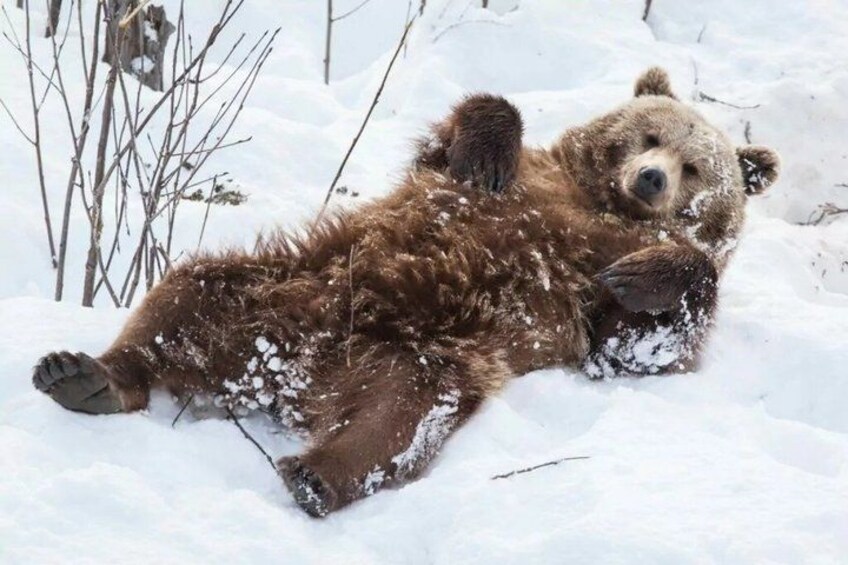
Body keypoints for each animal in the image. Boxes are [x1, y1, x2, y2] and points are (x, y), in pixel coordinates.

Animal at [31, 68, 779, 517]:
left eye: (694, 166)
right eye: (649, 133)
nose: (650, 178)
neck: (604, 205)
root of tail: (286, 375)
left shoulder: (593, 298)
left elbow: (639, 340)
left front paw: (647, 274)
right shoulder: (508, 184)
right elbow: (459, 142)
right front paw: (488, 148)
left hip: (420, 352)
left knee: (401, 413)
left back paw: (317, 476)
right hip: (283, 284)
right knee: (189, 294)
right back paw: (87, 373)